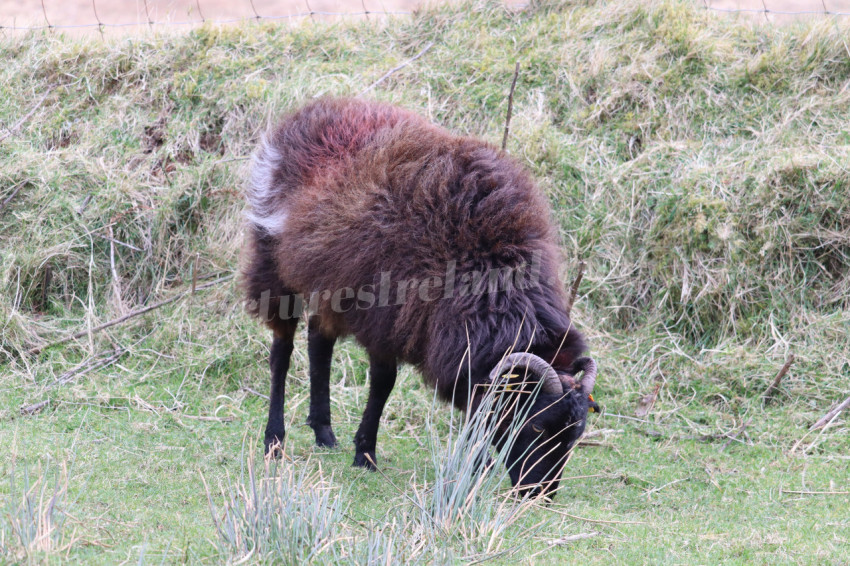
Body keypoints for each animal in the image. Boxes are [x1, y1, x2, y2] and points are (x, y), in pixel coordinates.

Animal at [241, 97, 598, 497]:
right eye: (536, 424)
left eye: (576, 434)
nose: (538, 494)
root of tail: (313, 109)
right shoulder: (386, 319)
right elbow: (383, 384)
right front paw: (366, 454)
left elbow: (477, 405)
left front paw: (478, 464)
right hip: (273, 264)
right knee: (282, 352)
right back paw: (274, 440)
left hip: (326, 280)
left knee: (320, 344)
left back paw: (324, 432)